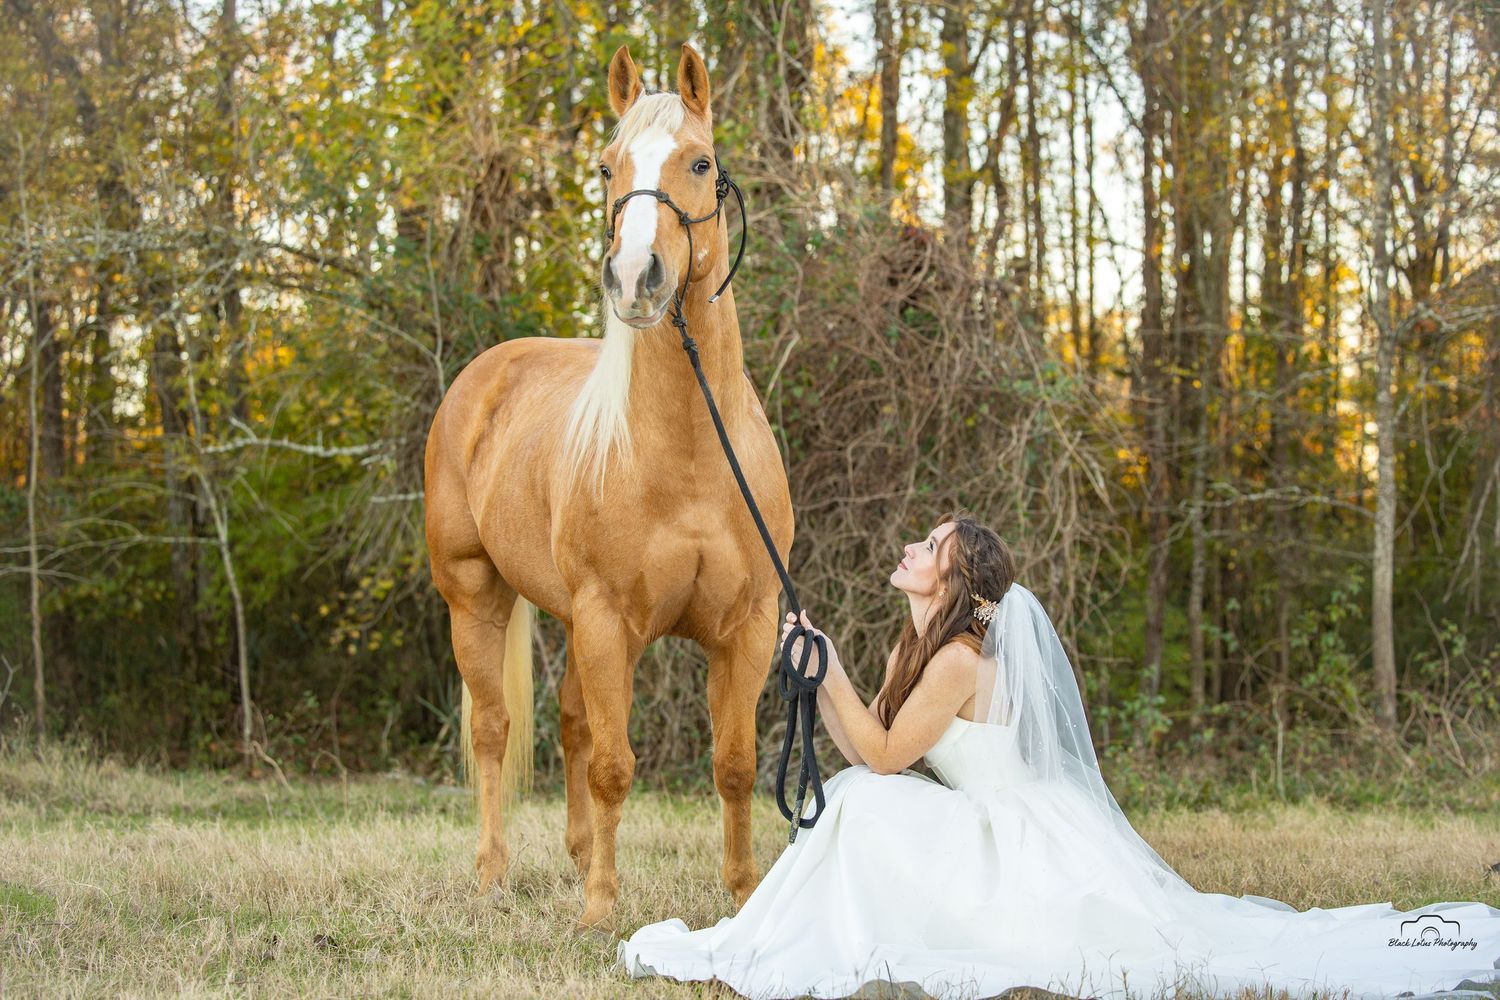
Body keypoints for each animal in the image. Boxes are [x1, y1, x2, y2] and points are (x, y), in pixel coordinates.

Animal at [423, 42, 793, 929]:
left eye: (700, 162)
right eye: (605, 166)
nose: (635, 277)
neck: (688, 455)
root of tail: (485, 375)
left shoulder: (749, 626)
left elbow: (734, 762)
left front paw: (744, 897)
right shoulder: (605, 619)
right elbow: (615, 766)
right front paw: (600, 910)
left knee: (567, 723)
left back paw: (576, 852)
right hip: (476, 598)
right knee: (496, 730)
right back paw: (494, 875)